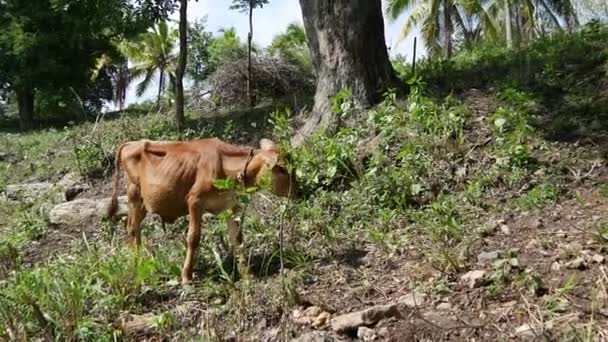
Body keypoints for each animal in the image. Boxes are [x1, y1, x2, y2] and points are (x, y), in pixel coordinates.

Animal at [107, 138, 296, 284]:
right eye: (282, 169)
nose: (298, 190)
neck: (227, 168)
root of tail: (132, 143)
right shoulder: (194, 201)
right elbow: (193, 238)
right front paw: (186, 277)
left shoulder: (230, 206)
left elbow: (238, 239)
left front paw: (247, 274)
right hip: (134, 194)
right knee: (133, 229)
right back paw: (137, 262)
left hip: (143, 203)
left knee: (130, 227)